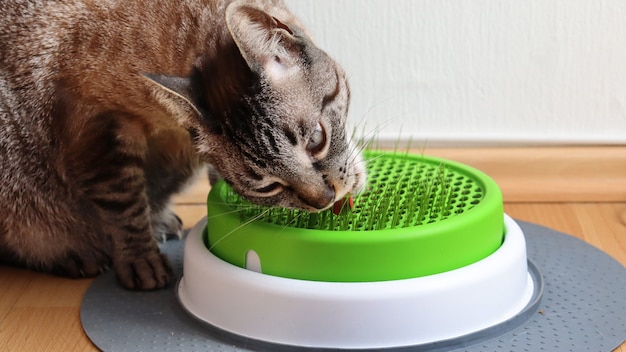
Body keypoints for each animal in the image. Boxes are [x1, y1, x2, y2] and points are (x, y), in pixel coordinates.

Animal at [0, 0, 366, 290]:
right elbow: (126, 208)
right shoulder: (101, 131)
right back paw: (76, 254)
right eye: (268, 187)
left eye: (316, 140)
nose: (325, 200)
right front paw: (141, 261)